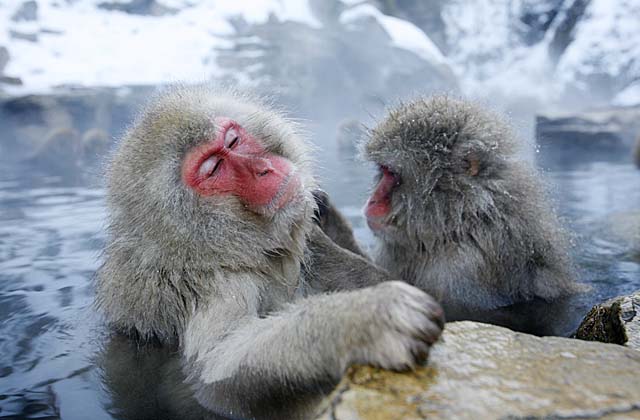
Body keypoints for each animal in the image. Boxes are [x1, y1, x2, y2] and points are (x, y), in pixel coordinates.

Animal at [95, 85, 444, 420]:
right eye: (214, 168)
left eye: (233, 140)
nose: (262, 168)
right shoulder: (212, 285)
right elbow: (218, 367)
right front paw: (367, 318)